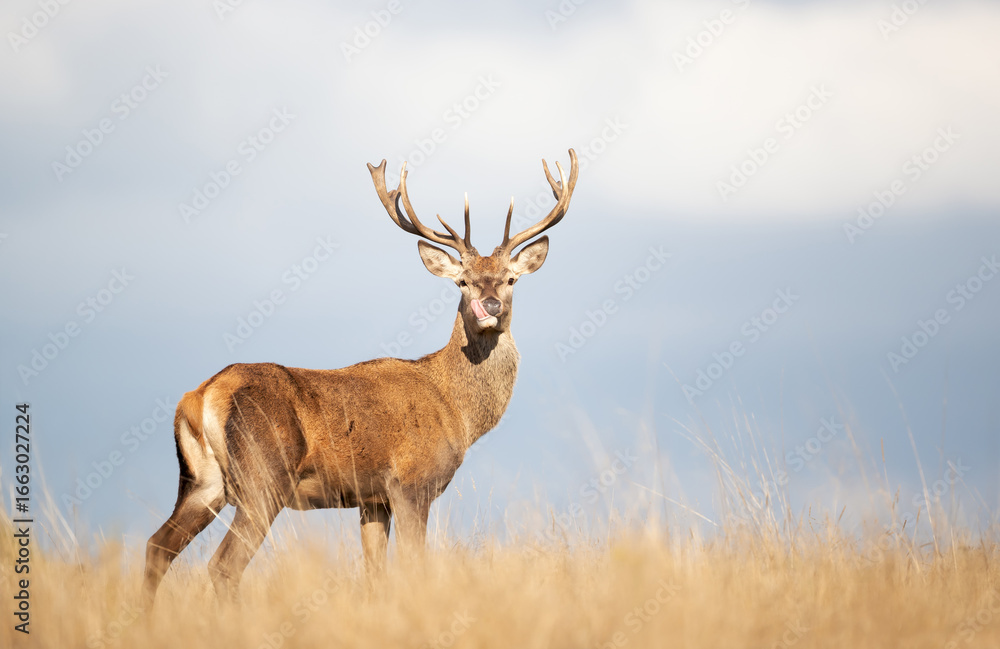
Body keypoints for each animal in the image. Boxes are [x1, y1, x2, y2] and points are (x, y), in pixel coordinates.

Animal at [141, 149, 579, 604]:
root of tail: (201, 395)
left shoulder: (372, 499)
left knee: (157, 547)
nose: (489, 305)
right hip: (263, 477)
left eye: (510, 279)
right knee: (223, 565)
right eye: (462, 282)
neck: (456, 410)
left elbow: (374, 574)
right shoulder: (411, 483)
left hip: (203, 482)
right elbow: (413, 567)